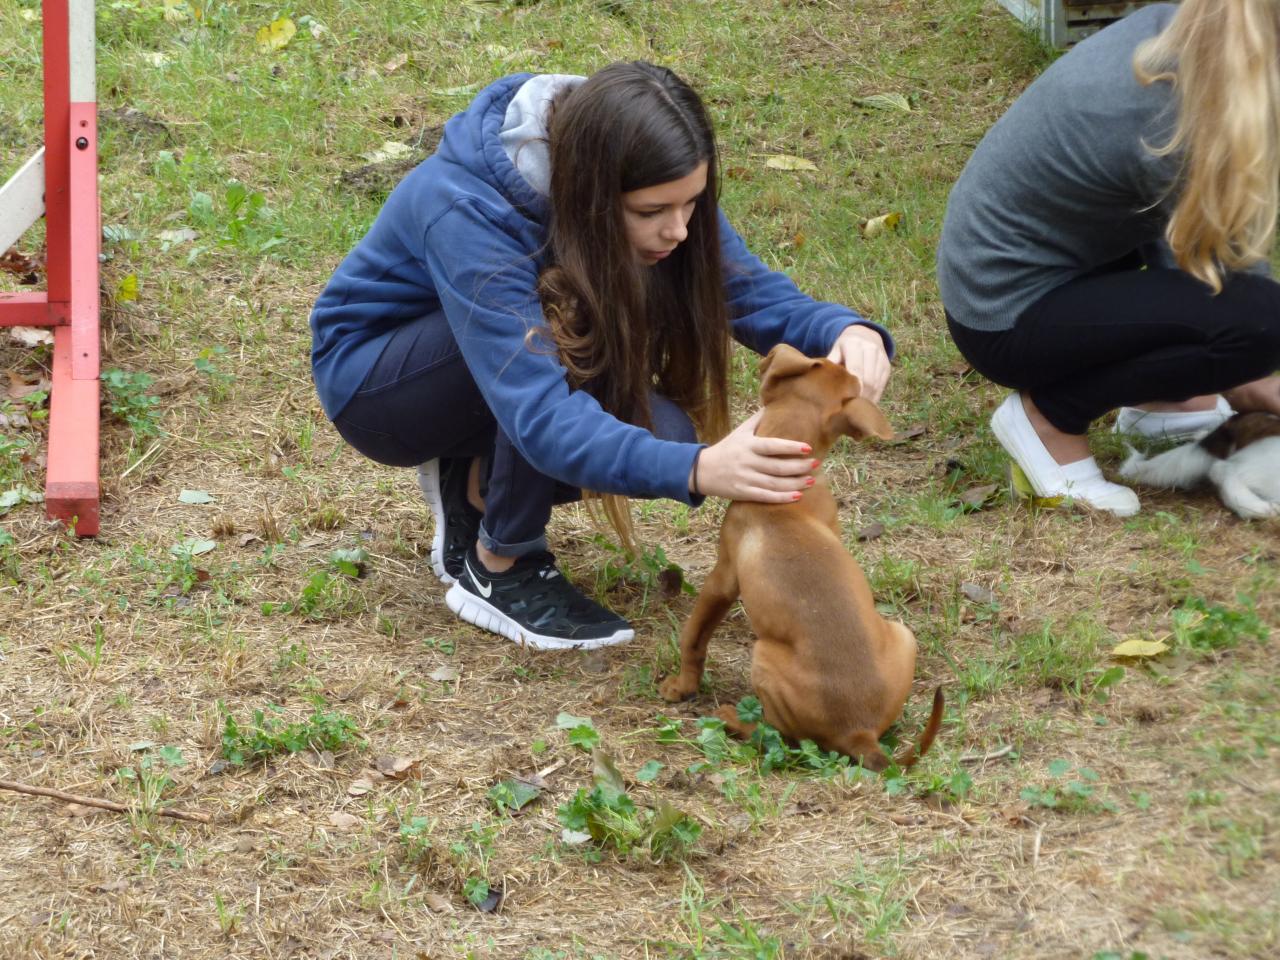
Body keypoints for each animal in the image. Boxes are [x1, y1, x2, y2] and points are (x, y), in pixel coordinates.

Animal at [665, 343, 947, 773]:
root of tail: (859, 732)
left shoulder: (722, 580)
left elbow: (693, 638)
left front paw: (682, 687)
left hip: (764, 656)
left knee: (781, 737)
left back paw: (734, 720)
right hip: (904, 634)